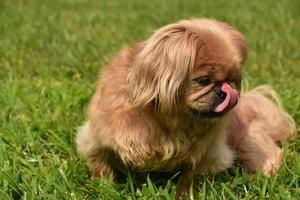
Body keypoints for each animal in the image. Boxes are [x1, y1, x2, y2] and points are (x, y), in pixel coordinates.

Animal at [76, 18, 296, 194]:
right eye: (204, 80)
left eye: (233, 80)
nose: (227, 89)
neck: (169, 121)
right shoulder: (97, 137)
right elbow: (100, 164)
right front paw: (104, 187)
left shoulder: (207, 155)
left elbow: (191, 178)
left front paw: (184, 194)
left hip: (249, 140)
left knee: (271, 155)